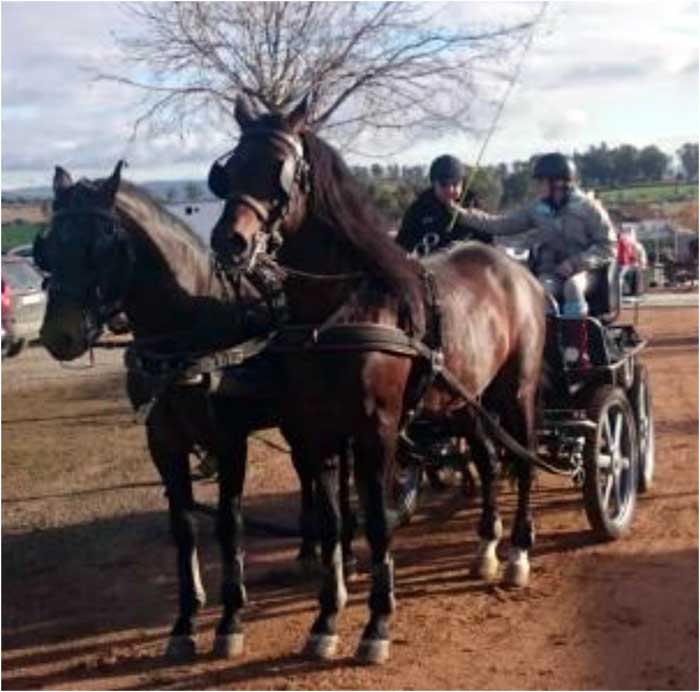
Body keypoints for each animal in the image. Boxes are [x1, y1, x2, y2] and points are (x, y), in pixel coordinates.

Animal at [32, 162, 356, 660]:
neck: (187, 330)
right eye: (47, 247)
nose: (58, 335)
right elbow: (183, 526)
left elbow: (228, 523)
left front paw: (230, 618)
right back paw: (307, 551)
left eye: (101, 243)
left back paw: (342, 559)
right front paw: (184, 622)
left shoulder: (229, 439)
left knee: (332, 479)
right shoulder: (163, 441)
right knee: (308, 475)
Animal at [211, 96, 548, 664]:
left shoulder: (377, 431)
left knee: (521, 461)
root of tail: (516, 270)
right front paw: (325, 620)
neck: (336, 315)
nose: (229, 242)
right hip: (466, 402)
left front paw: (377, 624)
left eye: (280, 171)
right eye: (229, 170)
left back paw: (519, 554)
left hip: (514, 392)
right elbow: (331, 525)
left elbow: (374, 521)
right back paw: (486, 547)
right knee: (487, 460)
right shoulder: (316, 434)